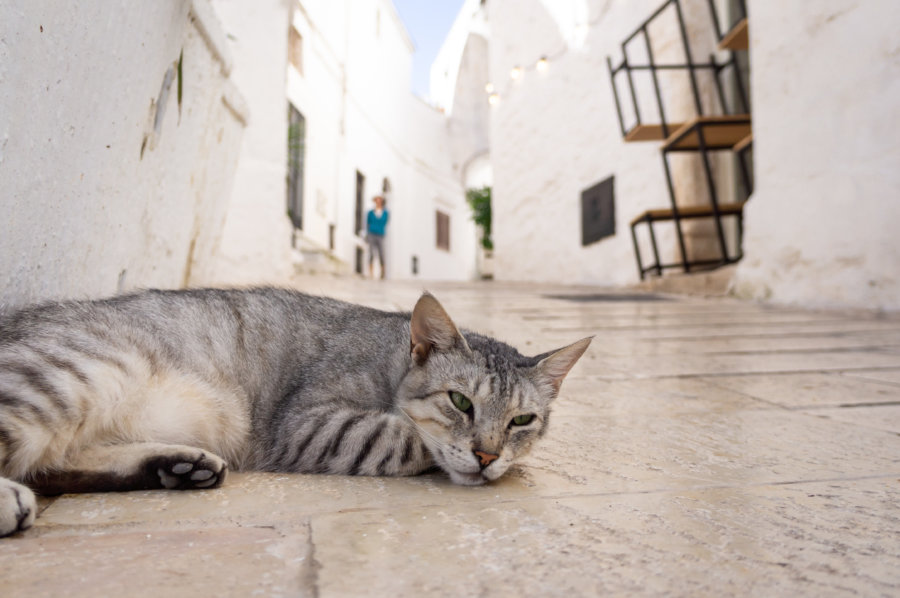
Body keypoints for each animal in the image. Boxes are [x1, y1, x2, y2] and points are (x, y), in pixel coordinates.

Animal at [0, 288, 596, 536]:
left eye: (522, 421)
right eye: (460, 401)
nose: (488, 455)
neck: (389, 359)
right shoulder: (308, 423)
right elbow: (408, 439)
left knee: (54, 467)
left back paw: (179, 466)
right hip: (69, 379)